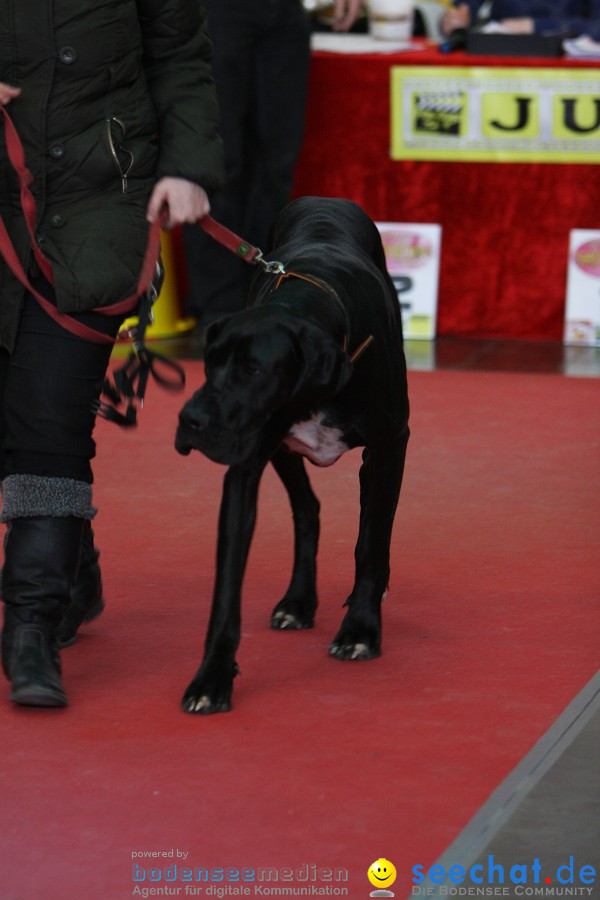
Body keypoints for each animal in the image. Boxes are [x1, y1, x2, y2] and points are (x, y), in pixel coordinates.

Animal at [173, 199, 408, 716]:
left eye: (253, 370)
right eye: (210, 363)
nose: (190, 420)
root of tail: (326, 200)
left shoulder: (390, 447)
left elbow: (372, 542)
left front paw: (362, 628)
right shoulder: (245, 471)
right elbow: (227, 589)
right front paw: (212, 676)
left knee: (368, 530)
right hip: (283, 454)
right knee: (308, 510)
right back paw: (299, 601)